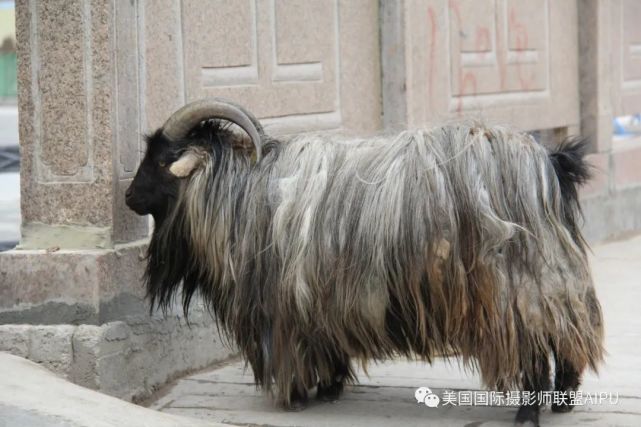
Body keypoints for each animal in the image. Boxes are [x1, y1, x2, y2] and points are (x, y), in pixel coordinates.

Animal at [125, 98, 604, 426]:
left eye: (163, 159)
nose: (128, 197)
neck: (240, 192)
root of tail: (550, 162)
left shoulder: (285, 309)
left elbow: (303, 351)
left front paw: (299, 396)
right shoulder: (323, 304)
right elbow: (330, 347)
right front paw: (330, 388)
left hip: (514, 285)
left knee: (535, 342)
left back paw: (528, 412)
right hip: (552, 275)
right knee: (567, 333)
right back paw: (562, 399)